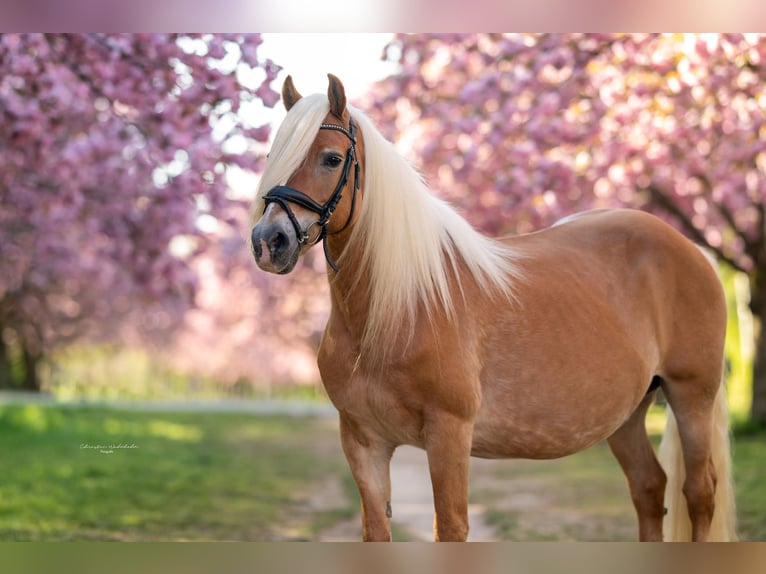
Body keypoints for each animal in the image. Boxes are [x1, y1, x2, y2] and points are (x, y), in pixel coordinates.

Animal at [250, 74, 736, 544]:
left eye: (332, 159)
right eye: (274, 152)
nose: (268, 241)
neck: (396, 309)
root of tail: (692, 249)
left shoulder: (449, 434)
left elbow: (451, 527)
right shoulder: (363, 440)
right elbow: (376, 530)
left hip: (691, 398)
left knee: (699, 493)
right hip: (628, 416)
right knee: (649, 489)